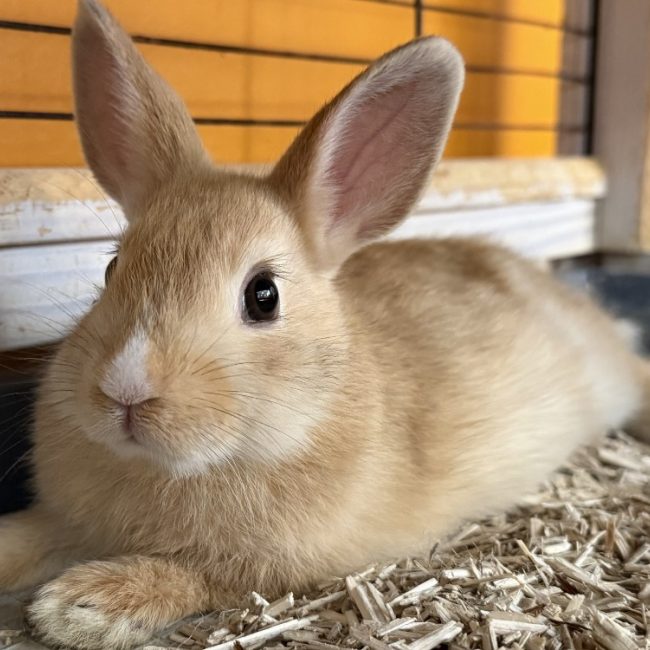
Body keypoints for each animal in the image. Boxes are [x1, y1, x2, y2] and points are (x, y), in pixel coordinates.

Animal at [1, 0, 649, 648]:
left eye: (263, 296)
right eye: (112, 269)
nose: (126, 391)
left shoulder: (272, 566)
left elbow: (193, 577)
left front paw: (80, 605)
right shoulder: (67, 518)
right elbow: (32, 531)